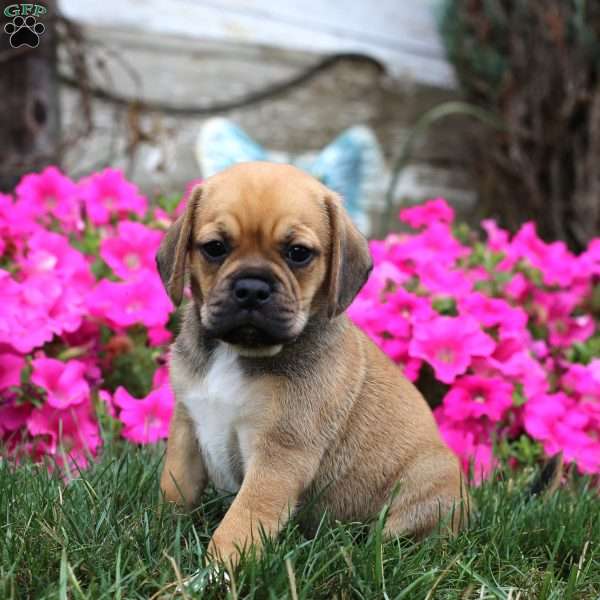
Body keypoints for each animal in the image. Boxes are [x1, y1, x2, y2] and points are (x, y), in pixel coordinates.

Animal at [157, 162, 466, 564]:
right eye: (214, 248)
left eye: (298, 253)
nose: (252, 288)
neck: (238, 352)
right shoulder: (187, 428)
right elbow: (174, 487)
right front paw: (159, 533)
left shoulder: (279, 456)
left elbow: (240, 522)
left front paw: (218, 569)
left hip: (430, 478)